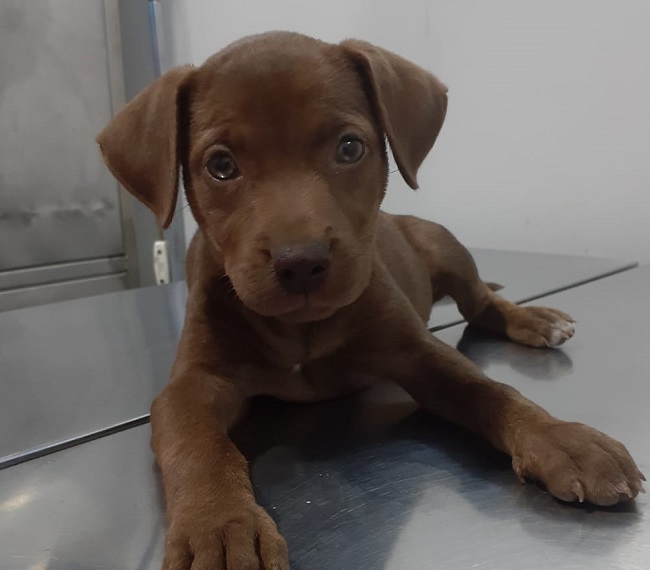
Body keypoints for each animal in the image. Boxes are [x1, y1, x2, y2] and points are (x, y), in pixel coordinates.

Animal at [97, 32, 644, 570]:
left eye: (349, 147)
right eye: (221, 165)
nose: (301, 263)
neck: (302, 331)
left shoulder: (419, 354)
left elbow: (489, 390)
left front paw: (561, 439)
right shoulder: (192, 384)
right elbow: (199, 445)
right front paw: (219, 524)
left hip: (446, 247)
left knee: (480, 304)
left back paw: (533, 319)